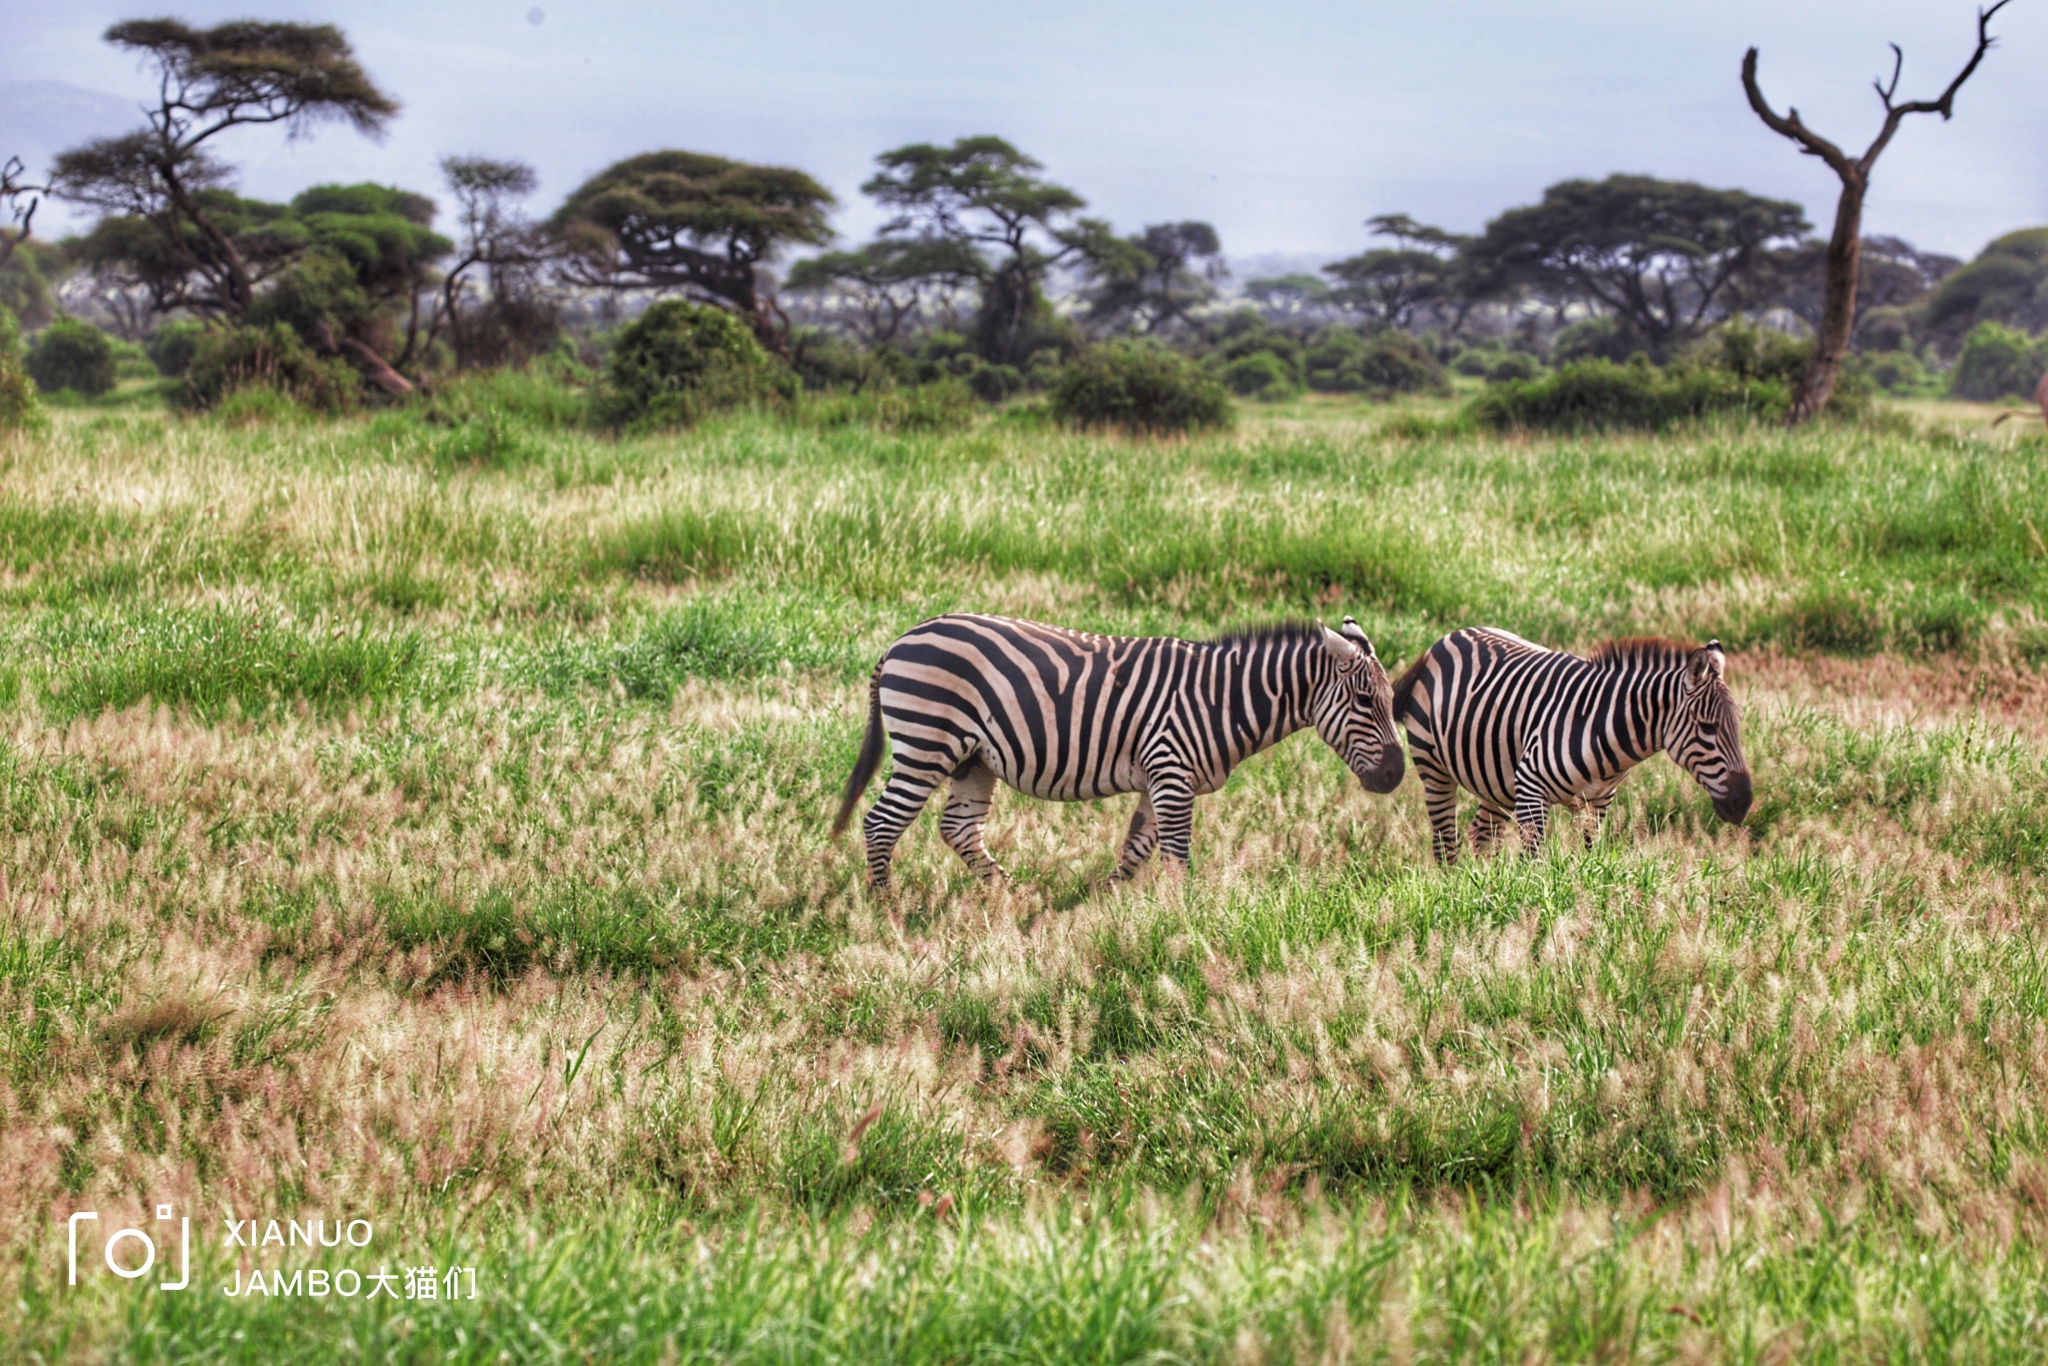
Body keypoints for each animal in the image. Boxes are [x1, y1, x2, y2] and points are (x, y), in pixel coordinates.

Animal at [831, 614, 1409, 892]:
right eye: (1365, 701)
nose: (1395, 776)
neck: (1220, 698)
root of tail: (901, 640)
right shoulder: (1171, 773)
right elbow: (1176, 859)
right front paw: (1184, 921)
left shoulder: (1164, 778)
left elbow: (1136, 851)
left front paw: (1098, 906)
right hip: (927, 743)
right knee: (882, 823)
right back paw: (886, 909)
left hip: (973, 759)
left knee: (959, 829)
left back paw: (1013, 895)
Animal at [1392, 626, 1761, 860]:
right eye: (1708, 728)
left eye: (1739, 725)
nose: (1743, 802)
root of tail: (1445, 640)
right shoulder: (1531, 790)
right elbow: (1533, 864)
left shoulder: (1597, 803)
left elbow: (1588, 860)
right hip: (1435, 771)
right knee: (1445, 842)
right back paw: (1456, 890)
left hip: (1496, 782)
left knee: (1483, 835)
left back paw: (1483, 886)